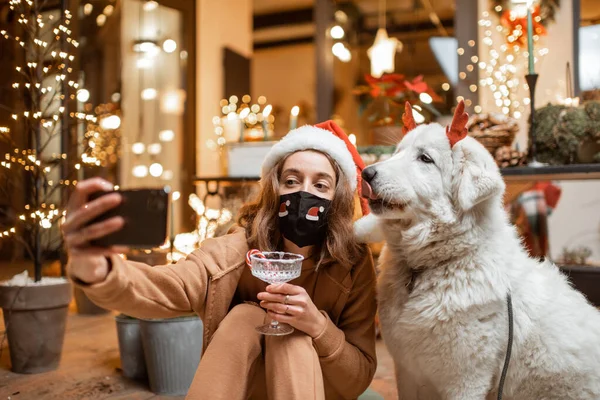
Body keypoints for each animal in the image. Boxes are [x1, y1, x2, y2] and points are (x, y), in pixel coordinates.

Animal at [354, 102, 600, 400]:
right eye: (397, 152)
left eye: (425, 158)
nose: (366, 173)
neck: (431, 267)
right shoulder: (408, 372)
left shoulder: (466, 380)